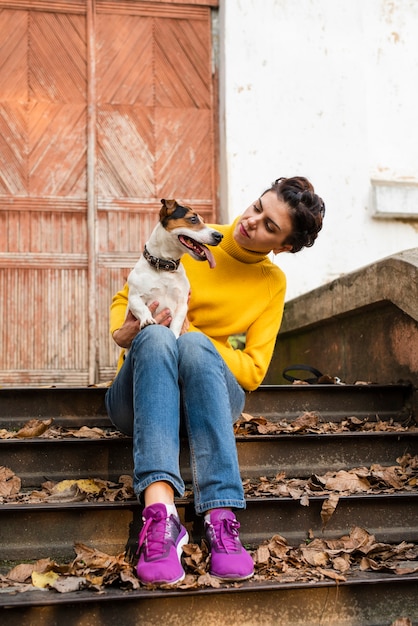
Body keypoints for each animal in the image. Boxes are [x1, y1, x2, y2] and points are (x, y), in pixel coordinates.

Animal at [127, 199, 224, 336]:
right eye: (193, 218)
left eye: (204, 221)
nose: (219, 236)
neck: (165, 267)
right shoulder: (134, 297)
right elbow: (142, 308)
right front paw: (147, 320)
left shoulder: (182, 304)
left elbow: (176, 324)